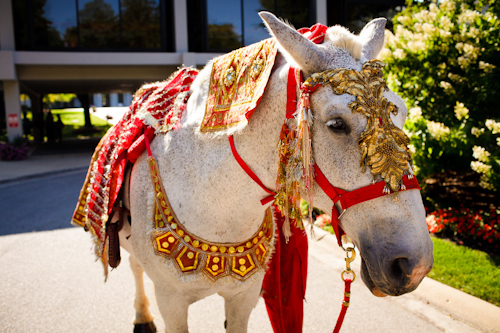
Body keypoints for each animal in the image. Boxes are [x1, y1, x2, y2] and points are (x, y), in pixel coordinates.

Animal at [117, 11, 434, 332]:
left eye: (403, 112)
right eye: (336, 124)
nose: (414, 265)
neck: (213, 203)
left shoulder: (244, 295)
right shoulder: (171, 300)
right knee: (134, 267)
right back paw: (142, 316)